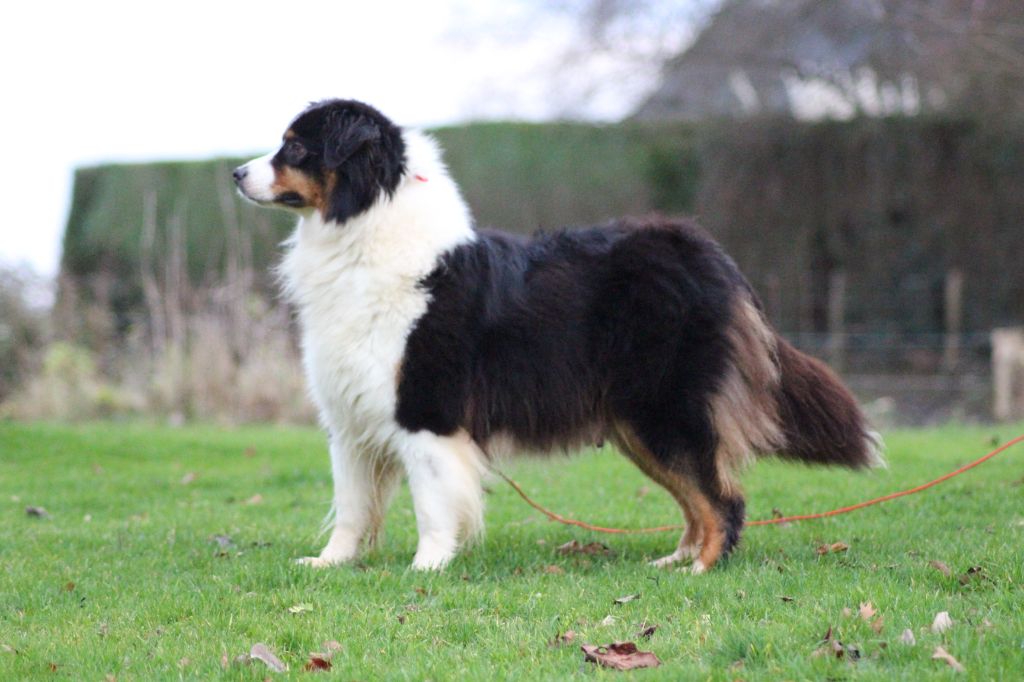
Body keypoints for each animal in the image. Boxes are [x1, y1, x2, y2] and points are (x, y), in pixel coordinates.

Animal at [234, 99, 882, 573]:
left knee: (724, 499)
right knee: (696, 498)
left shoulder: (425, 411)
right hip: (635, 426)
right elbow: (350, 505)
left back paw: (703, 569)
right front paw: (329, 564)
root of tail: (709, 256)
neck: (363, 228)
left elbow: (433, 503)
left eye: (295, 146)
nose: (235, 172)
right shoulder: (349, 420)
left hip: (664, 411)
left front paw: (427, 568)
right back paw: (673, 563)